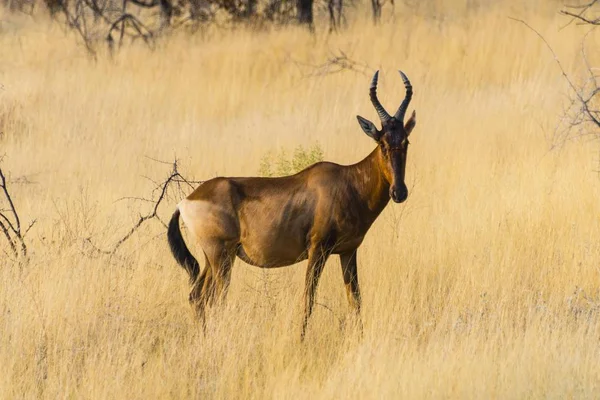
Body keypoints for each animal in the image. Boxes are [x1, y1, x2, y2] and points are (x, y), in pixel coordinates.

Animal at [166, 69, 414, 338]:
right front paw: (301, 339)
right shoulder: (317, 250)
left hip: (212, 257)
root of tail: (186, 202)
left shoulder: (348, 251)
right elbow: (308, 299)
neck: (348, 181)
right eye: (382, 143)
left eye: (405, 142)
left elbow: (355, 299)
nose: (399, 192)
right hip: (221, 256)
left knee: (197, 296)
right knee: (212, 299)